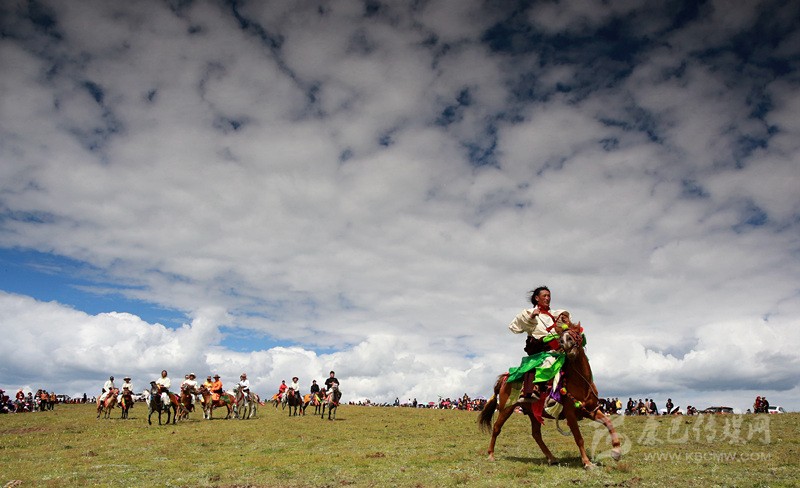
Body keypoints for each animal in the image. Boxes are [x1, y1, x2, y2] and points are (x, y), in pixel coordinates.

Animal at [478, 320, 620, 468]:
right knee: (496, 428)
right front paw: (587, 462)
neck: (582, 383)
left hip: (533, 413)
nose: (565, 341)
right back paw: (491, 455)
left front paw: (616, 451)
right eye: (561, 336)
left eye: (576, 333)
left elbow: (609, 423)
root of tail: (506, 377)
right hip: (506, 408)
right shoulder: (570, 414)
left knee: (536, 434)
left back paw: (551, 458)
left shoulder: (591, 410)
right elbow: (579, 438)